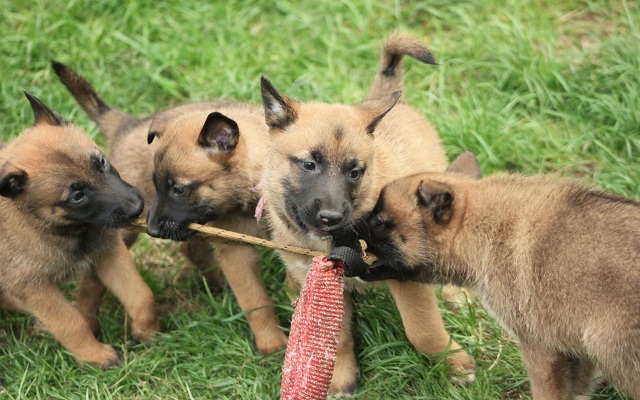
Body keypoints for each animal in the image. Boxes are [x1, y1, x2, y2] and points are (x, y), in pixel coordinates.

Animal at [0, 93, 159, 366]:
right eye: (77, 196)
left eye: (101, 162)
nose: (137, 207)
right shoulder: (34, 287)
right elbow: (71, 324)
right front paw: (95, 356)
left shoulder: (107, 251)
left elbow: (141, 295)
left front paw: (148, 333)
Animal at [52, 61, 288, 354]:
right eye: (158, 185)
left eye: (178, 189)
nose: (152, 230)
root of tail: (126, 127)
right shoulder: (236, 251)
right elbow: (256, 302)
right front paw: (272, 345)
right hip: (121, 227)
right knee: (93, 275)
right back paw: (88, 320)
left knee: (190, 249)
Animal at [258, 32, 476, 396]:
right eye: (308, 164)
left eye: (355, 172)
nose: (331, 217)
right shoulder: (327, 281)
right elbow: (336, 337)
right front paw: (341, 377)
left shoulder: (406, 278)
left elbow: (423, 329)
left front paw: (453, 362)